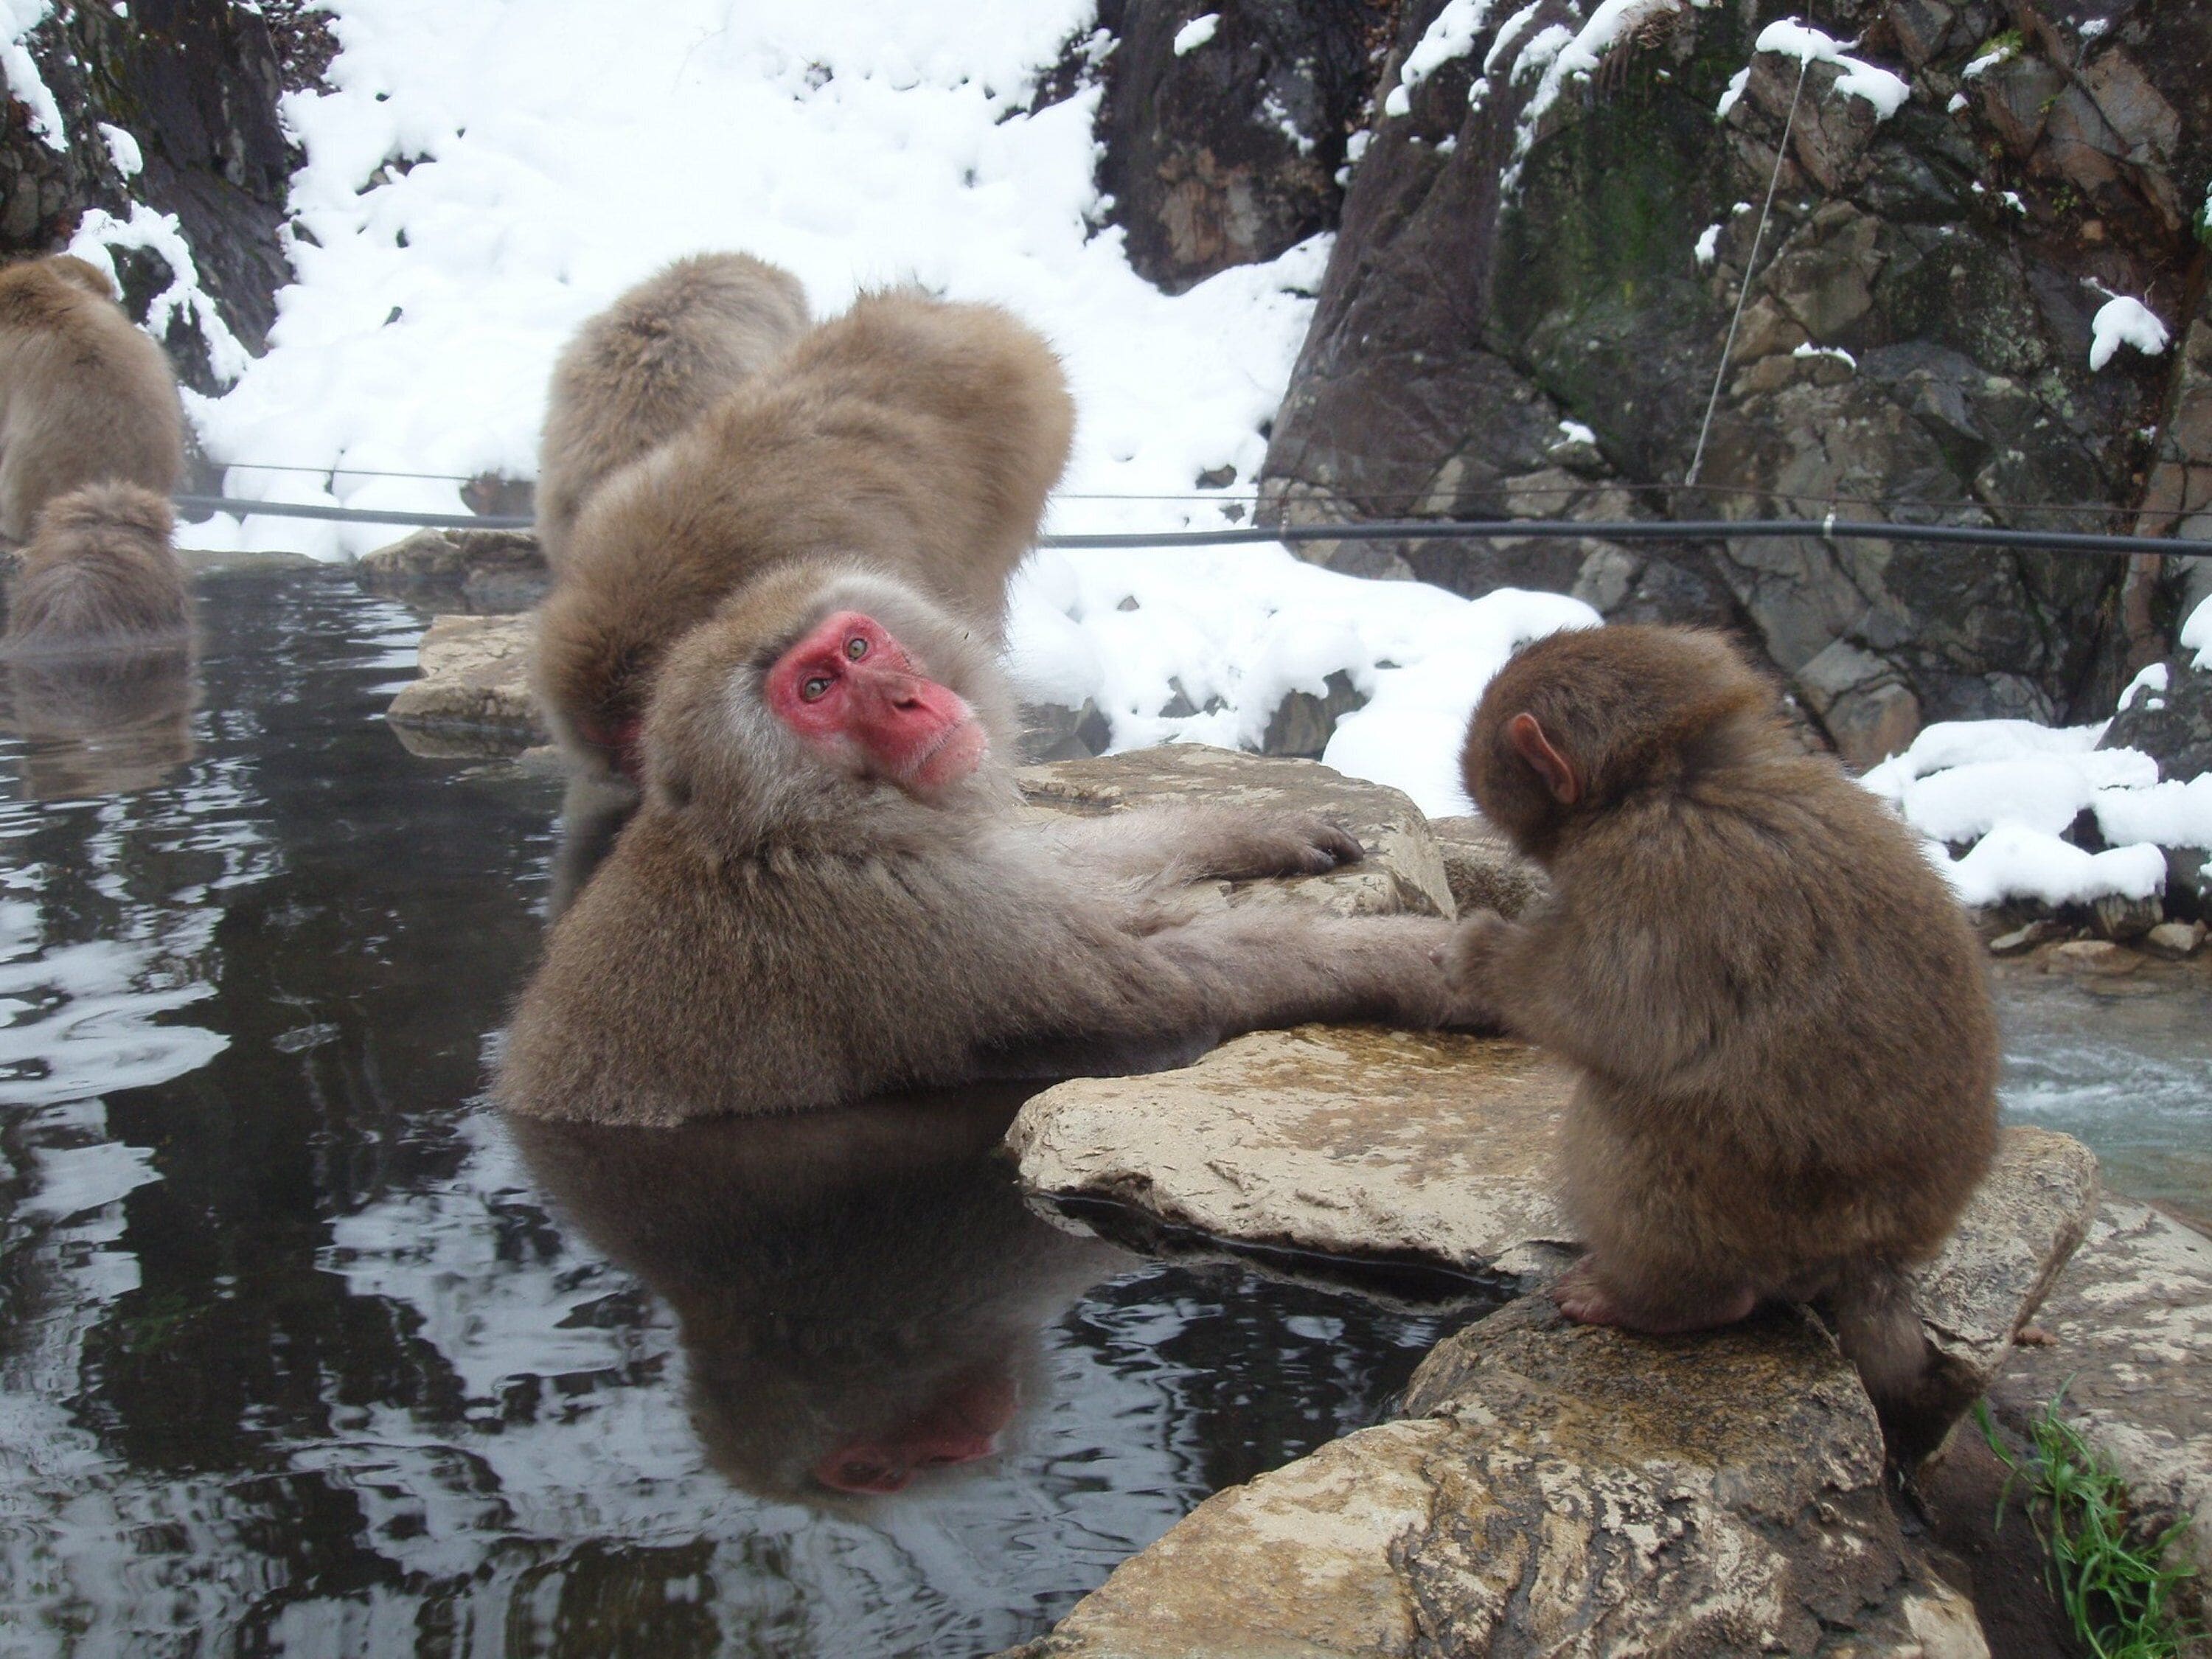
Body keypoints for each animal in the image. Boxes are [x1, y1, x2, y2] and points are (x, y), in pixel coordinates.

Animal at [494, 560, 1488, 1127]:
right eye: (816, 689)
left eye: (859, 647)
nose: (906, 695)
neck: (796, 824)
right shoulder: (900, 913)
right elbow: (1171, 977)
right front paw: (1427, 960)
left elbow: (1070, 865)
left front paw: (1247, 825)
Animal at [1450, 624, 1999, 1450]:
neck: (1679, 773)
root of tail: (1874, 1259)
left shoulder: (1647, 874)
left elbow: (1612, 1019)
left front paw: (1487, 953)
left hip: (1760, 1216)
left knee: (1629, 1116)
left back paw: (1666, 1300)